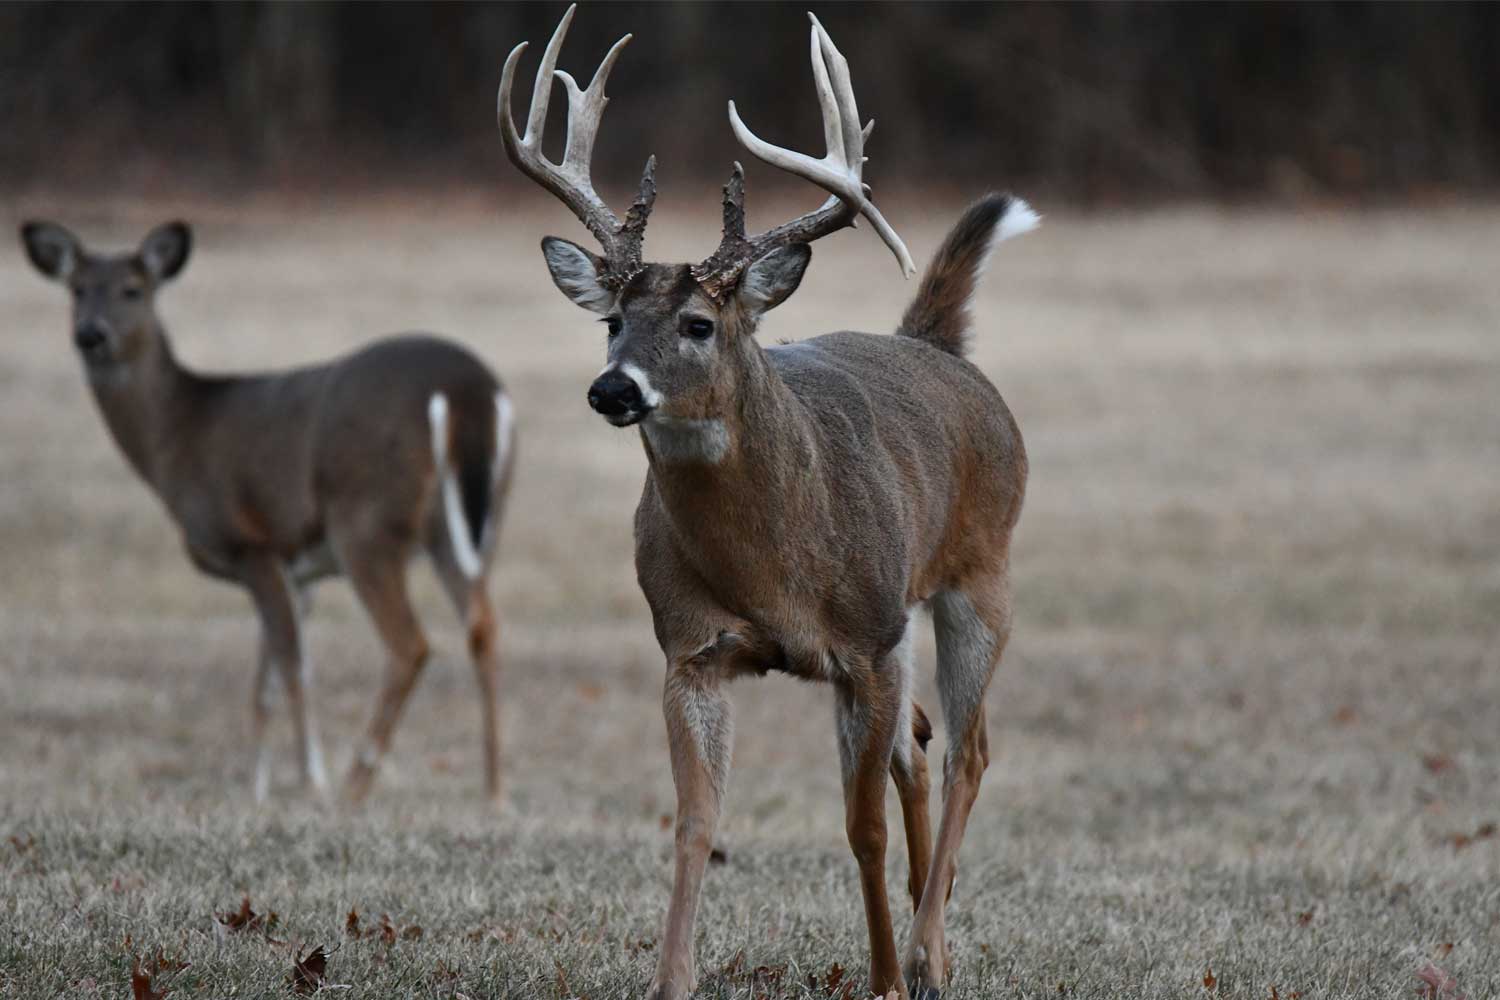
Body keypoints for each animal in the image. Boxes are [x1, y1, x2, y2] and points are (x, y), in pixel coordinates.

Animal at [16, 218, 522, 803]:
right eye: (77, 289)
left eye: (132, 289)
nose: (90, 334)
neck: (178, 436)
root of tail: (468, 391)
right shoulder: (295, 569)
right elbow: (267, 682)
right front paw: (256, 790)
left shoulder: (250, 543)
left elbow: (291, 666)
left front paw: (307, 781)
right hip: (472, 526)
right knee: (484, 625)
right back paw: (494, 791)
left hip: (366, 521)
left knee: (409, 643)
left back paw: (353, 786)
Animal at [501, 7, 1032, 1000]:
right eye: (611, 321)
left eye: (699, 324)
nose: (612, 389)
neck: (774, 568)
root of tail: (937, 346)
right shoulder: (690, 648)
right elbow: (696, 825)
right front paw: (672, 981)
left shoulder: (865, 642)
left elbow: (859, 826)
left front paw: (885, 977)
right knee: (919, 746)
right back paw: (924, 919)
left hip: (980, 574)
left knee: (969, 750)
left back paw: (927, 950)